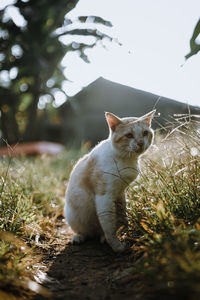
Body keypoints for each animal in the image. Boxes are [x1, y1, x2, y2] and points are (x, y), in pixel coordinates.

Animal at [65, 109, 155, 252]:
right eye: (129, 135)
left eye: (145, 133)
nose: (141, 143)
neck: (125, 159)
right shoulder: (104, 196)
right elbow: (109, 227)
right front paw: (117, 247)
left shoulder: (120, 193)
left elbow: (123, 218)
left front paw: (126, 233)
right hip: (73, 215)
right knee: (86, 232)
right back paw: (79, 238)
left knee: (102, 231)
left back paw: (102, 238)